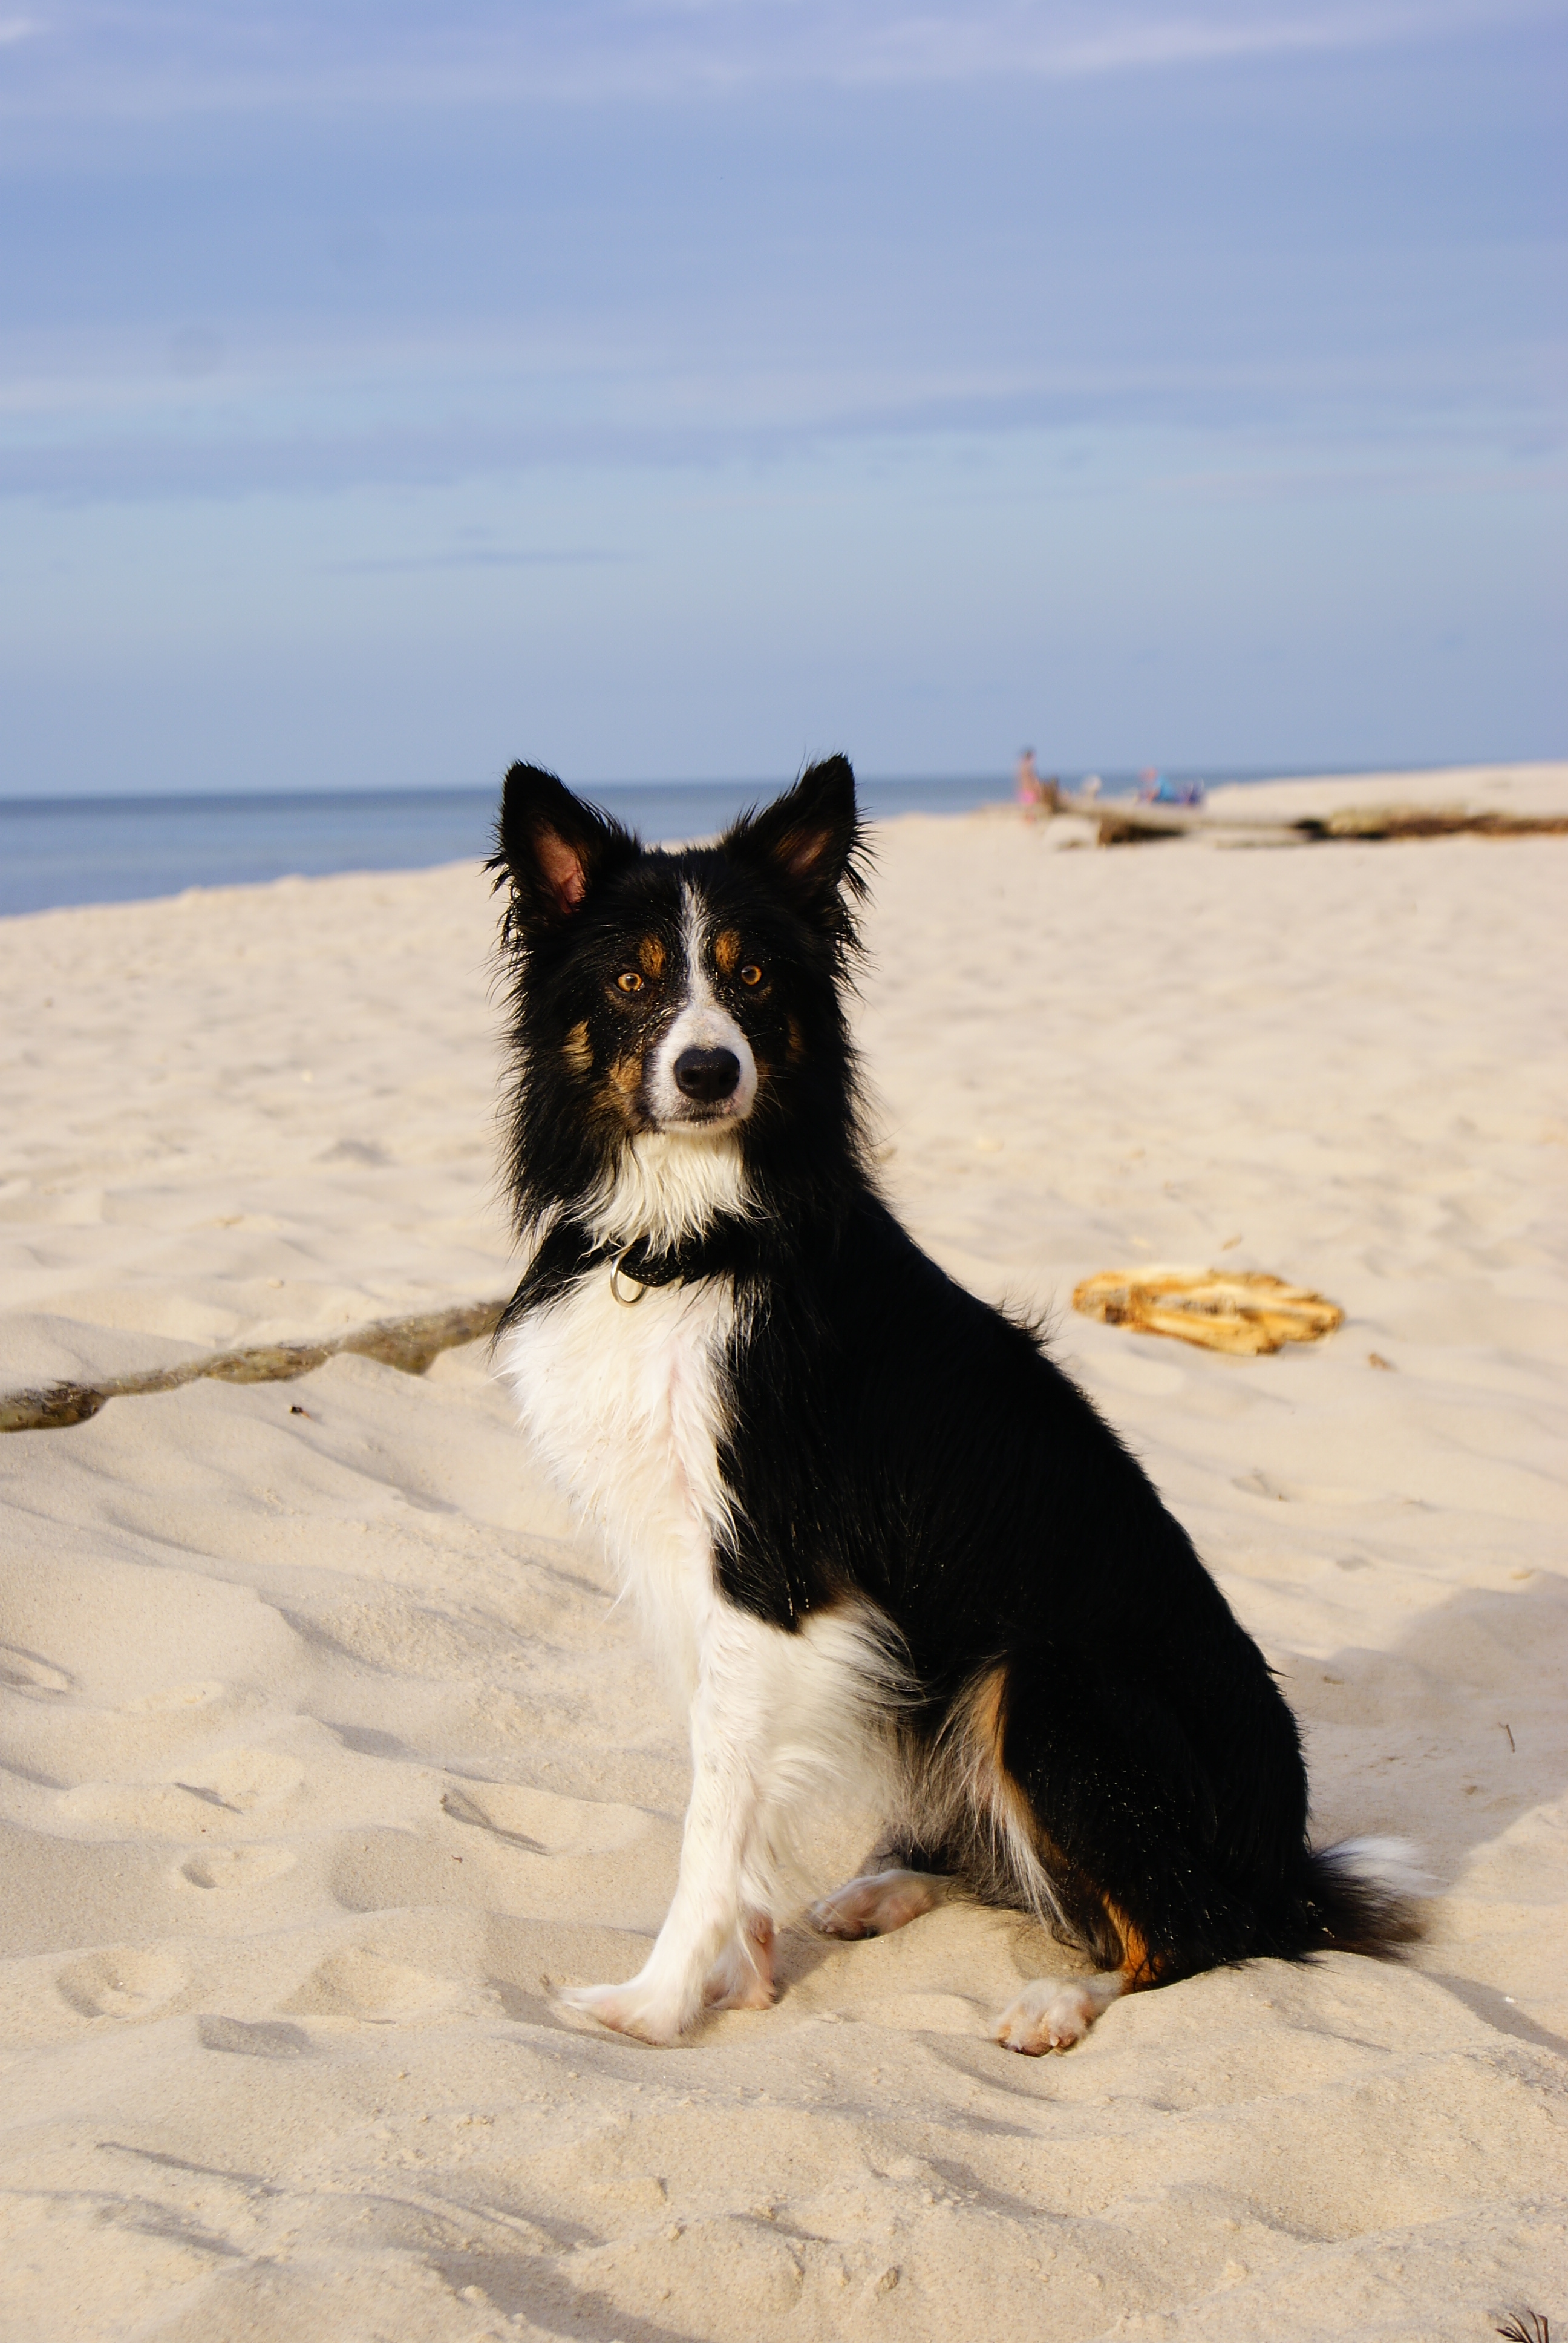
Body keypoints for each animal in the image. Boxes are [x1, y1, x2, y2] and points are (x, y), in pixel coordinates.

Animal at [483, 754, 1416, 2052]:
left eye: (751, 976)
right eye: (632, 979)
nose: (710, 1070)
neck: (689, 1241)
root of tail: (1287, 1868)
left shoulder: (770, 1567)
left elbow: (713, 1811)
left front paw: (660, 2000)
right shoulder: (690, 1567)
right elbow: (732, 1782)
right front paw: (743, 1968)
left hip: (1042, 1682)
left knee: (1192, 1932)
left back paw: (1058, 1997)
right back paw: (887, 1886)